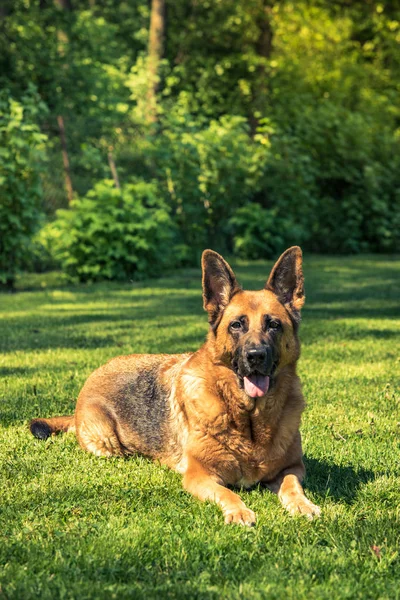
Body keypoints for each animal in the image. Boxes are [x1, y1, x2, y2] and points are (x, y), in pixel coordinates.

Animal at [30, 246, 322, 524]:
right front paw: (239, 511)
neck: (249, 420)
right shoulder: (200, 475)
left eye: (273, 325)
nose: (256, 356)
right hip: (107, 443)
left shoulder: (293, 468)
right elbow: (227, 492)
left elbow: (292, 486)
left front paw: (302, 505)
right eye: (237, 325)